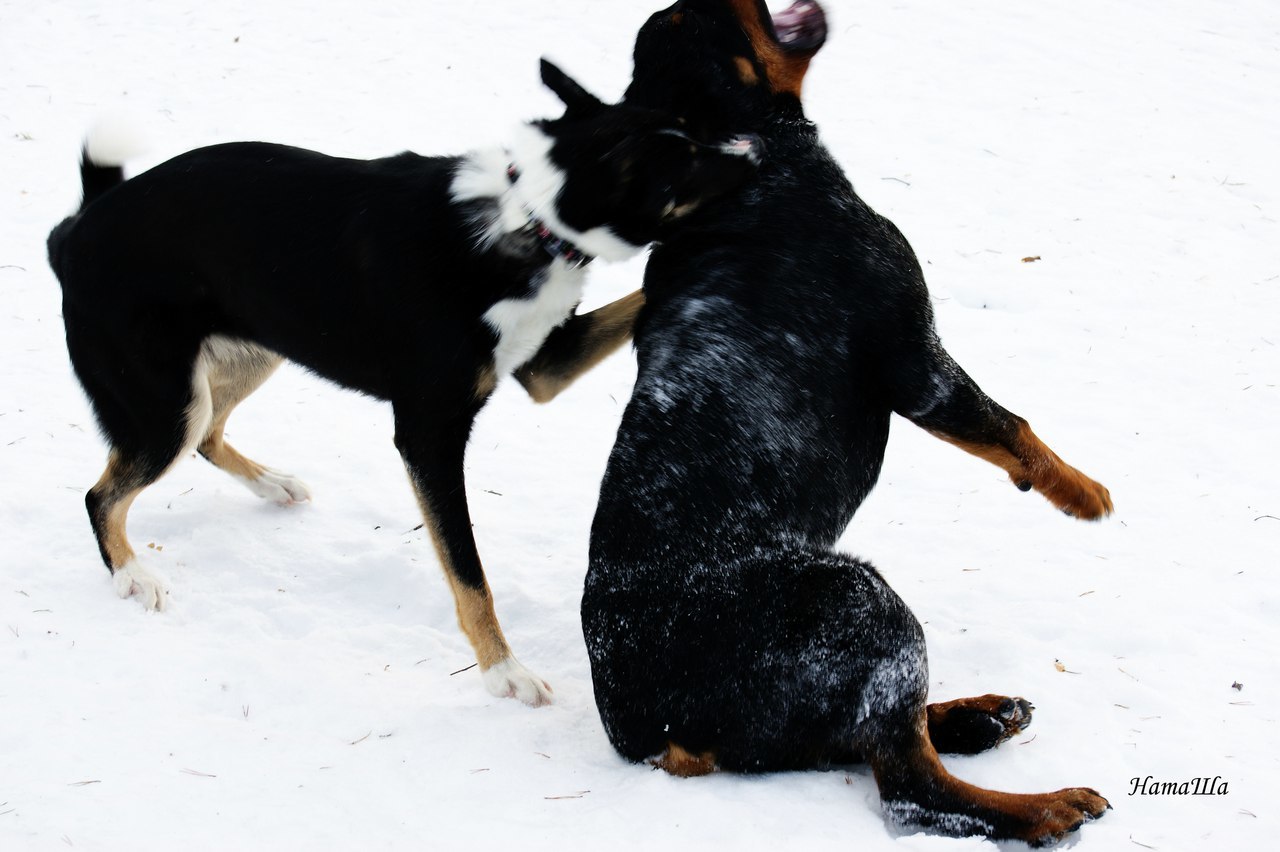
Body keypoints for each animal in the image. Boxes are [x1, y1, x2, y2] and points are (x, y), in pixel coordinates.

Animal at [49, 59, 757, 701]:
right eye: (683, 164)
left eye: (692, 135)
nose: (757, 150)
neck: (526, 216)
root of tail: (78, 228)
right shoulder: (429, 433)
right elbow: (469, 571)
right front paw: (505, 671)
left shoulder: (546, 364)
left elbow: (638, 297)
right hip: (165, 401)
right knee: (103, 494)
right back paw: (133, 575)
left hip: (254, 348)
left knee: (206, 436)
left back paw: (273, 484)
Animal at [581, 0, 1111, 839]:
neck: (754, 164)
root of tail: (642, 730)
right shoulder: (916, 360)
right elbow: (1012, 428)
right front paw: (1084, 494)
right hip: (858, 600)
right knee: (909, 782)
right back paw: (1039, 805)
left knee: (867, 736)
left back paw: (978, 718)